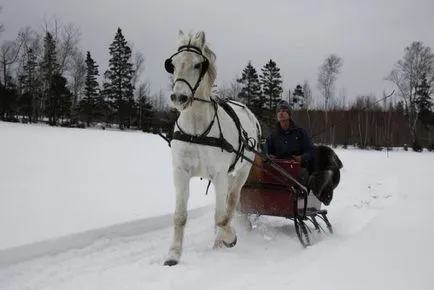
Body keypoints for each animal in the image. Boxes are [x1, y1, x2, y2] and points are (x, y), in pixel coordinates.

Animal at [163, 30, 262, 266]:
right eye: (173, 64)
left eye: (199, 64)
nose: (178, 97)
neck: (197, 131)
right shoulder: (180, 172)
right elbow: (180, 216)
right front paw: (173, 254)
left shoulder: (219, 175)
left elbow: (221, 218)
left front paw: (230, 238)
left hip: (242, 171)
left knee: (231, 203)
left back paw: (221, 242)